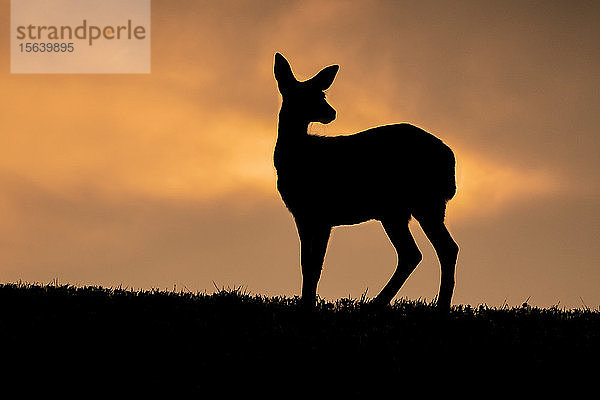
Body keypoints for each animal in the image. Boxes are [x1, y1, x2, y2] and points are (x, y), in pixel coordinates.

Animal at [272, 51, 460, 310]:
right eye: (306, 95)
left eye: (321, 94)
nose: (332, 112)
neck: (300, 155)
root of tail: (450, 161)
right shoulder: (307, 215)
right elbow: (307, 264)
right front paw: (306, 302)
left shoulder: (319, 215)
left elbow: (314, 265)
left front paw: (307, 305)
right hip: (400, 210)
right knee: (416, 253)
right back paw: (382, 303)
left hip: (422, 201)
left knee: (441, 249)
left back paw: (435, 305)